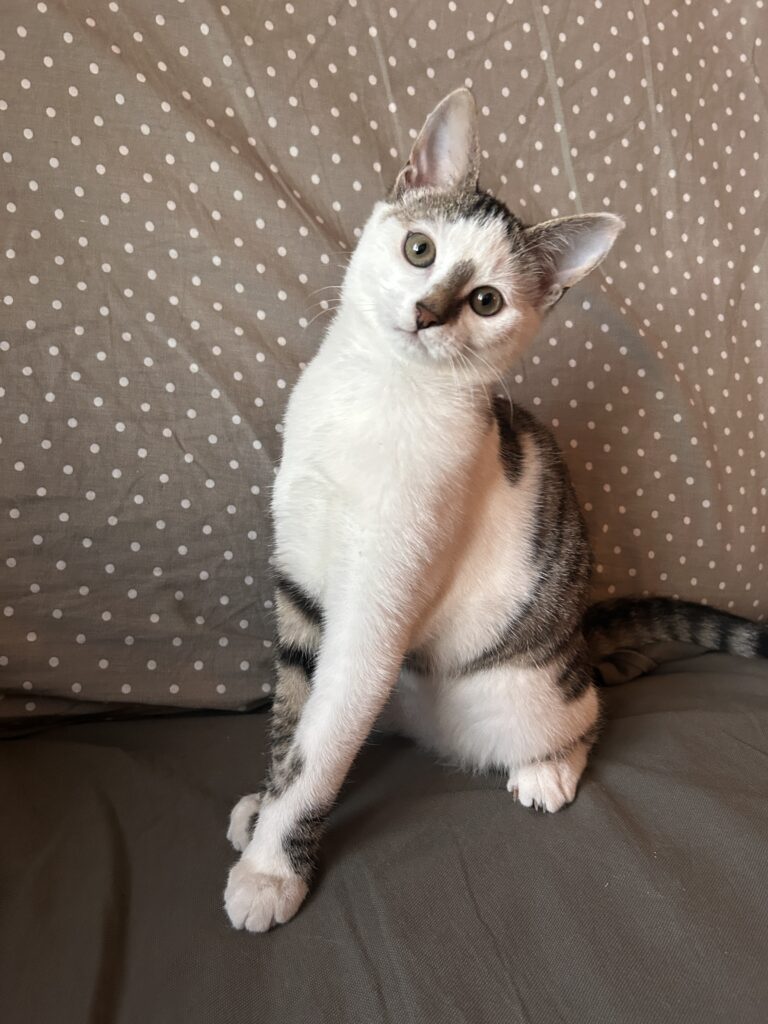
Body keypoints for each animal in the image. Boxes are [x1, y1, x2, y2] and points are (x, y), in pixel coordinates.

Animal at [224, 88, 768, 933]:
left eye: (485, 301)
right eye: (419, 249)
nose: (427, 311)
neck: (377, 397)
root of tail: (577, 638)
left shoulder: (375, 610)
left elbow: (320, 752)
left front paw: (271, 873)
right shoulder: (302, 586)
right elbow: (292, 720)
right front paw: (264, 812)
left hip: (527, 690)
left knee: (586, 711)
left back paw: (548, 769)